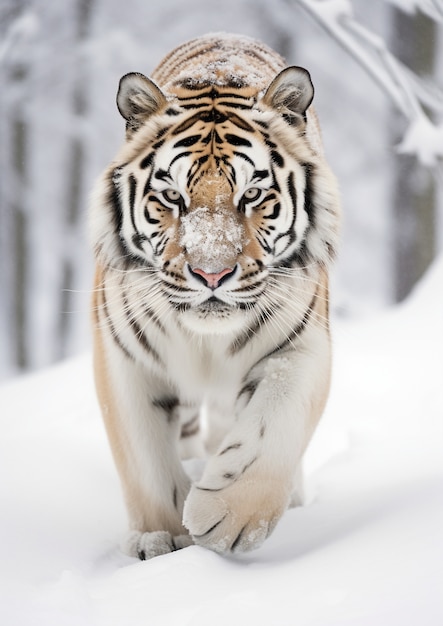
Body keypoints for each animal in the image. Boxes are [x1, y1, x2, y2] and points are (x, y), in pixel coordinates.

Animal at [89, 31, 340, 560]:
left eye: (252, 195)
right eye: (171, 197)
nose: (212, 273)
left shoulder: (301, 345)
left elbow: (272, 427)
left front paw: (228, 518)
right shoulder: (125, 357)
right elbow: (146, 459)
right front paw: (160, 538)